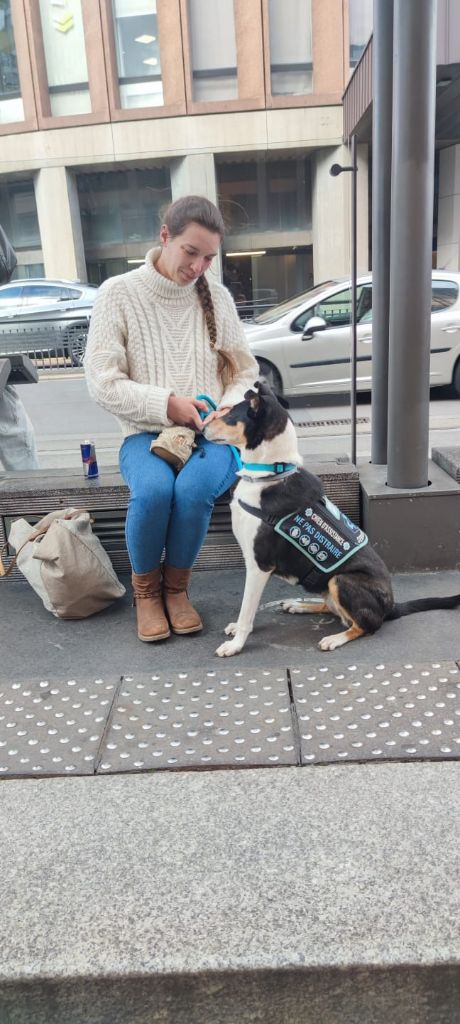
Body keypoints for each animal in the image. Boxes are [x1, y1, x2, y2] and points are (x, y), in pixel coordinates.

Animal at [204, 382, 458, 655]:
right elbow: (247, 610)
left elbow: (246, 612)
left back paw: (334, 638)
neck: (271, 473)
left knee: (366, 625)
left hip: (341, 580)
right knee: (333, 608)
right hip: (329, 586)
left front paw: (235, 645)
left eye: (229, 414)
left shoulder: (258, 564)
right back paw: (300, 605)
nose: (201, 427)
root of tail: (391, 605)